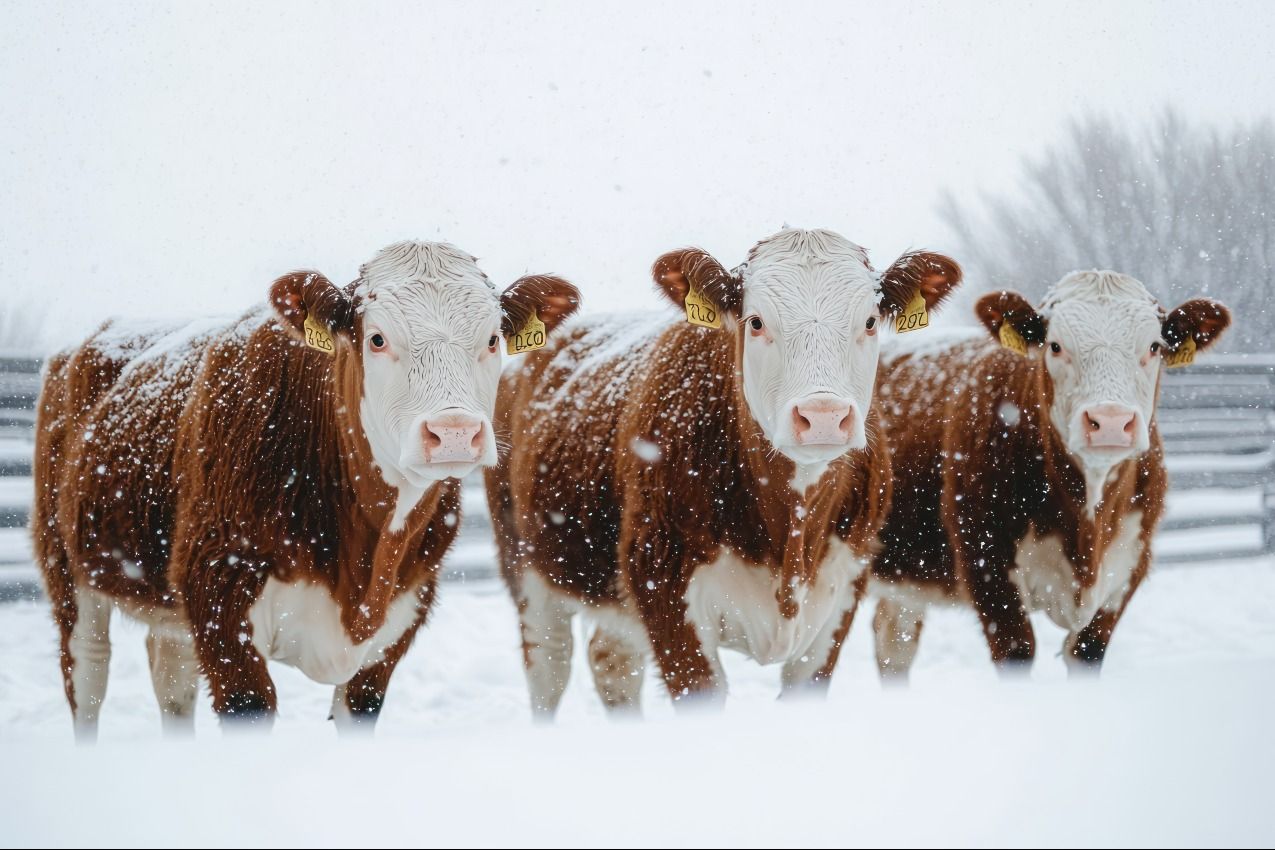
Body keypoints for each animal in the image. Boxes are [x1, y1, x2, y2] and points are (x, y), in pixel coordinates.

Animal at [32, 240, 579, 737]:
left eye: (492, 339)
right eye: (376, 338)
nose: (454, 432)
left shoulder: (398, 622)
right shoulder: (220, 597)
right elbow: (248, 705)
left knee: (172, 680)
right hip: (65, 563)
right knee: (87, 676)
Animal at [486, 228, 961, 715]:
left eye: (868, 321)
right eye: (755, 322)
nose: (823, 415)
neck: (789, 541)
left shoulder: (841, 596)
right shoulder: (664, 590)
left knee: (612, 664)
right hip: (525, 565)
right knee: (549, 671)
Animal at [859, 270, 1230, 677]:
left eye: (1154, 346)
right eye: (1054, 346)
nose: (1111, 422)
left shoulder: (1127, 569)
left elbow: (1087, 653)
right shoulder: (987, 565)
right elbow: (1017, 651)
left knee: (894, 643)